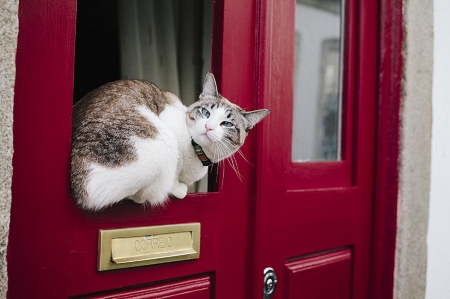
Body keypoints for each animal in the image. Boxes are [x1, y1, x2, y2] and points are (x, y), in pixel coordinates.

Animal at [68, 72, 268, 211]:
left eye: (226, 124)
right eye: (206, 112)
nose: (209, 127)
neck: (197, 152)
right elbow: (171, 180)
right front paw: (178, 188)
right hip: (162, 143)